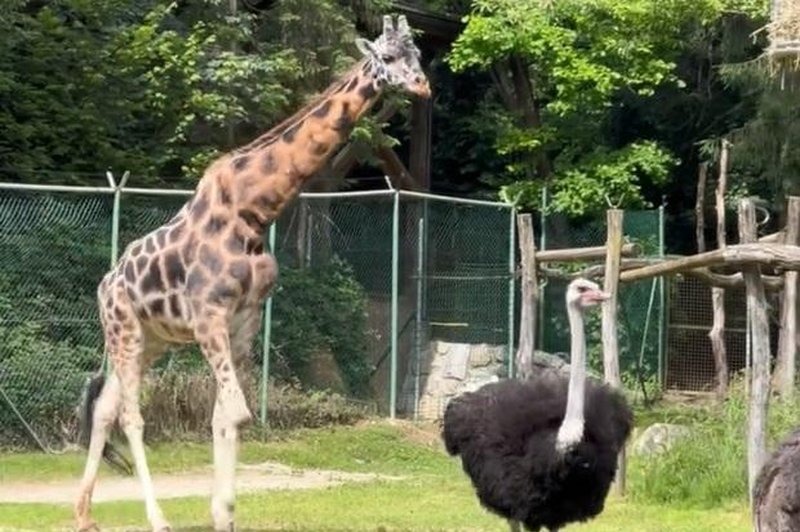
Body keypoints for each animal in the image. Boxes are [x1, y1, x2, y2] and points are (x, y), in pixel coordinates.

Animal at [75, 14, 432, 528]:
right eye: (386, 56)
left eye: (417, 54)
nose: (423, 86)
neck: (254, 210)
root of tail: (105, 285)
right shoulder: (209, 317)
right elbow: (237, 411)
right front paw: (220, 511)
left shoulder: (243, 319)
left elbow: (227, 415)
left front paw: (224, 514)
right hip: (124, 331)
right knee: (129, 415)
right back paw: (157, 518)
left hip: (152, 339)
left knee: (105, 408)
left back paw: (84, 514)